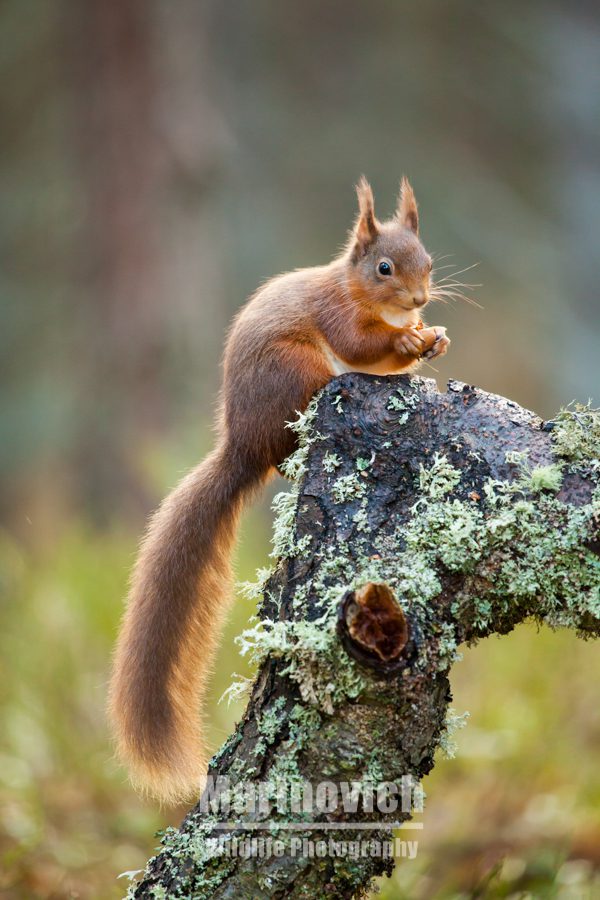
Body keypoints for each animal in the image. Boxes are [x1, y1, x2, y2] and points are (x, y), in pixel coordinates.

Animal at [109, 176, 450, 800]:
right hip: (297, 374)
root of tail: (245, 445)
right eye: (384, 267)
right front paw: (408, 343)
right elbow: (361, 347)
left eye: (429, 262)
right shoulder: (337, 315)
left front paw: (432, 339)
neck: (358, 292)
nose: (419, 302)